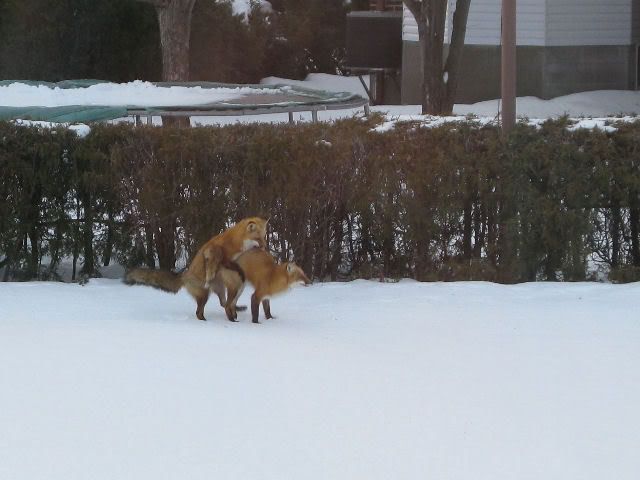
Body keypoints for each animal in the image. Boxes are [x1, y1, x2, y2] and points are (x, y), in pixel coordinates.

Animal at [125, 218, 268, 322]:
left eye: (264, 237)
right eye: (258, 239)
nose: (265, 247)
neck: (236, 242)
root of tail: (184, 275)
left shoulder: (233, 260)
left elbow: (234, 265)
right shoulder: (214, 249)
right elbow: (217, 255)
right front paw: (210, 273)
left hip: (219, 290)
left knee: (223, 303)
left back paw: (236, 309)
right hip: (204, 295)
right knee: (199, 312)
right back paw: (204, 321)